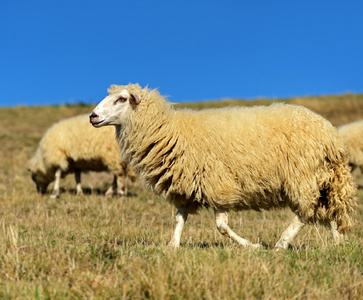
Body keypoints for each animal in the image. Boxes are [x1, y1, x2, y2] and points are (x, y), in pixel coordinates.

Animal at [89, 83, 356, 250]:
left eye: (121, 99)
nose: (92, 116)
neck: (168, 131)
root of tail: (330, 134)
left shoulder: (217, 185)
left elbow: (221, 227)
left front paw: (252, 246)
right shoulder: (187, 187)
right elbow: (178, 220)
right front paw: (172, 246)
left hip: (302, 176)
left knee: (304, 213)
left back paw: (281, 243)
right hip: (323, 179)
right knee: (332, 212)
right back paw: (337, 245)